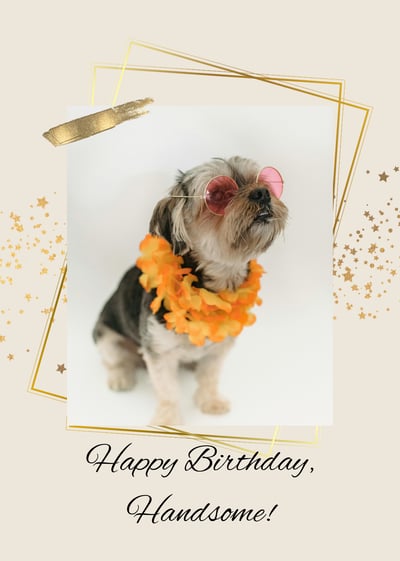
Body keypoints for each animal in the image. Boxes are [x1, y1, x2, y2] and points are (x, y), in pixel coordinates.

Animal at [93, 155, 288, 422]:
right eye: (218, 194)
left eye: (265, 182)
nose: (262, 193)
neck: (214, 287)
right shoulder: (159, 351)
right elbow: (167, 390)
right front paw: (168, 419)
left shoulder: (218, 349)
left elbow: (209, 378)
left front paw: (210, 401)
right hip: (106, 336)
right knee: (113, 361)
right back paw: (120, 377)